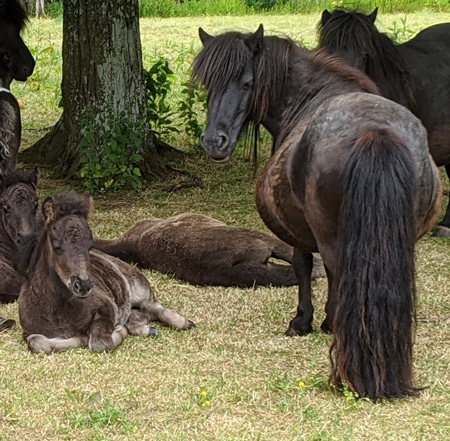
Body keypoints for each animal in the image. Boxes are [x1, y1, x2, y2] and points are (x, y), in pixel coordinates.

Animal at [18, 190, 194, 354]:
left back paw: (184, 323)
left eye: (90, 245)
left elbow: (99, 342)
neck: (59, 311)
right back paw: (147, 329)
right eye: (57, 246)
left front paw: (118, 332)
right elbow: (37, 343)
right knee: (142, 314)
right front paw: (81, 338)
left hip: (138, 288)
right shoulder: (29, 332)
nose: (83, 285)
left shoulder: (106, 307)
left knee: (154, 307)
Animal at [192, 24, 442, 398]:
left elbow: (304, 266)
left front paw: (306, 320)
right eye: (209, 84)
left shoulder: (299, 231)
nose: (213, 142)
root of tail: (376, 132)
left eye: (247, 83)